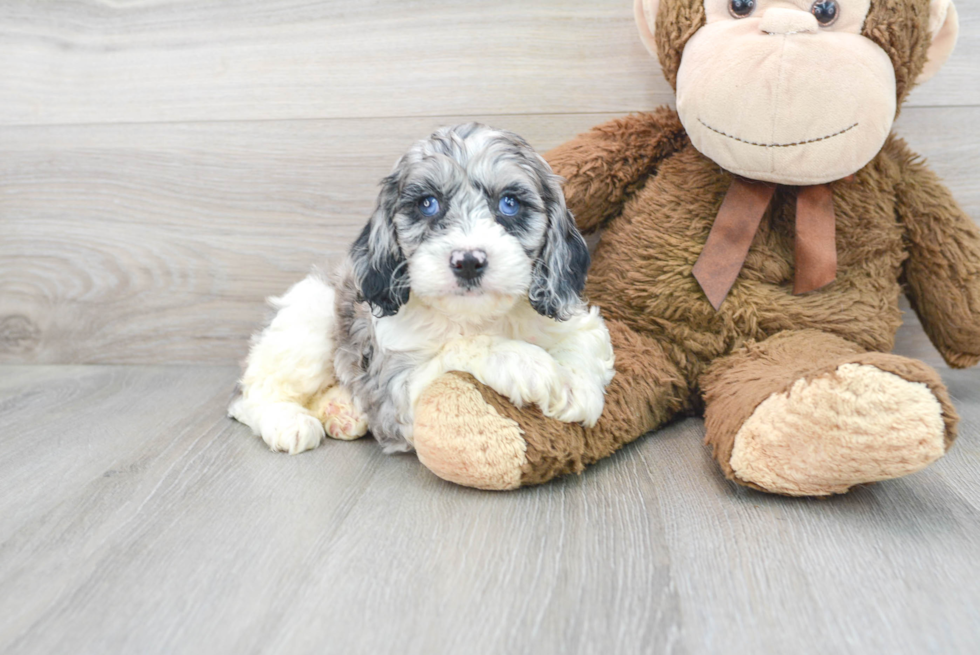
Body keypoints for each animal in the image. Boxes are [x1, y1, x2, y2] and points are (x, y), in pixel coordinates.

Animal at [228, 125, 612, 458]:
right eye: (428, 203)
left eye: (509, 203)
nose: (468, 261)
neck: (477, 316)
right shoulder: (398, 392)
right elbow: (461, 347)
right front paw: (527, 363)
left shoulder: (574, 319)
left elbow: (585, 341)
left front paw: (577, 388)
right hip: (308, 324)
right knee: (250, 396)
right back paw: (287, 422)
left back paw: (342, 412)